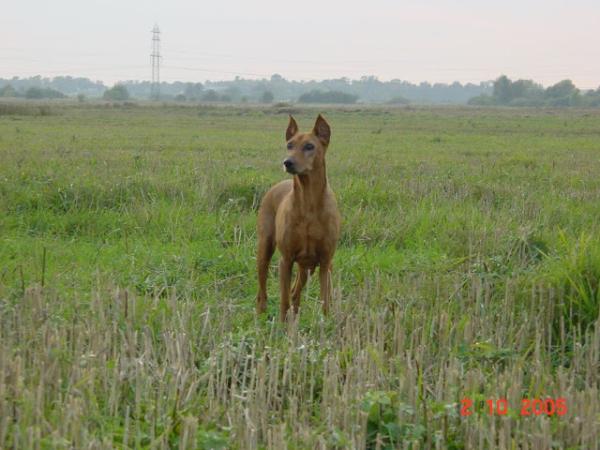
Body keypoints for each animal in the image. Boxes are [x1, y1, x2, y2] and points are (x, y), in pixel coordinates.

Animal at [256, 114, 342, 322]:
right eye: (289, 145)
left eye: (309, 146)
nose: (287, 162)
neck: (308, 201)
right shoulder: (286, 260)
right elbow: (283, 300)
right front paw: (282, 325)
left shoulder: (326, 261)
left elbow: (325, 299)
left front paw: (327, 323)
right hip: (265, 249)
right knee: (263, 292)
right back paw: (261, 315)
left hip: (307, 266)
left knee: (296, 292)